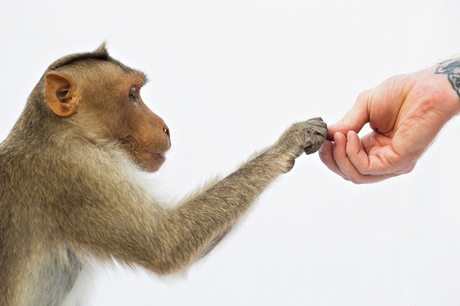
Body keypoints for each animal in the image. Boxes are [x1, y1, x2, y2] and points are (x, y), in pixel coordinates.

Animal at [0, 43, 328, 306]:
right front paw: (289, 143)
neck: (60, 132)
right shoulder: (79, 173)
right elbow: (167, 244)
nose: (165, 127)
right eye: (132, 96)